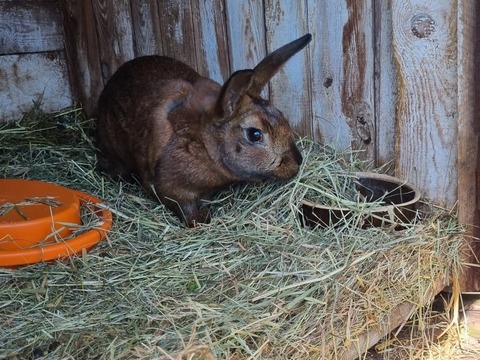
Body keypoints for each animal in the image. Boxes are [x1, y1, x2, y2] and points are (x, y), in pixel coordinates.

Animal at [94, 33, 312, 225]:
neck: (205, 144)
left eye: (281, 114)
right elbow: (185, 206)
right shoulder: (173, 190)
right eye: (254, 134)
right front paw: (200, 219)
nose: (297, 160)